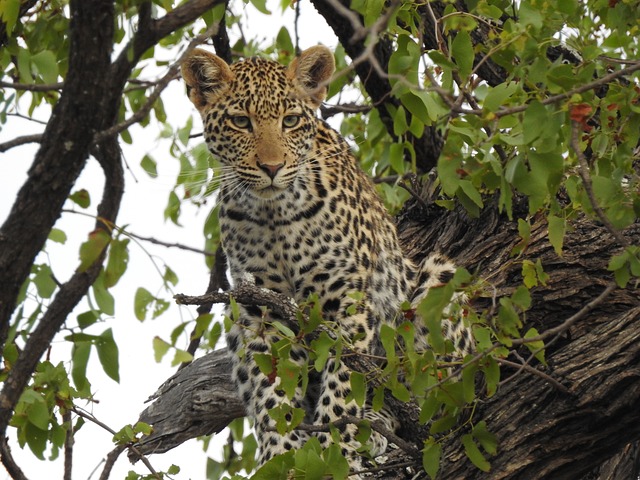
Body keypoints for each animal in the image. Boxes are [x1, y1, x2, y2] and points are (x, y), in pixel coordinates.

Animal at [182, 44, 472, 472]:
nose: (272, 168)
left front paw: (339, 451)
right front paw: (283, 456)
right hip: (236, 326)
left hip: (439, 285)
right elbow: (272, 391)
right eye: (240, 121)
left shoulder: (343, 302)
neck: (275, 214)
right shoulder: (262, 312)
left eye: (289, 121)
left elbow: (343, 385)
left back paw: (380, 425)